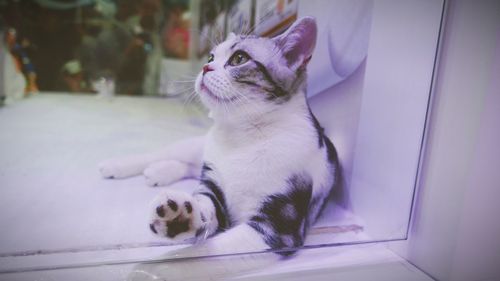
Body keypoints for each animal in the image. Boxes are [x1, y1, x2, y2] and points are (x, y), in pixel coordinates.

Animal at [99, 17, 342, 278]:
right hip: (194, 147)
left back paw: (158, 172)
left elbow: (202, 254)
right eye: (210, 57)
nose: (206, 68)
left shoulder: (277, 228)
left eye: (239, 58)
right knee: (167, 155)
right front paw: (182, 217)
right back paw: (120, 165)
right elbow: (203, 205)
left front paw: (153, 269)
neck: (243, 137)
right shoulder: (212, 187)